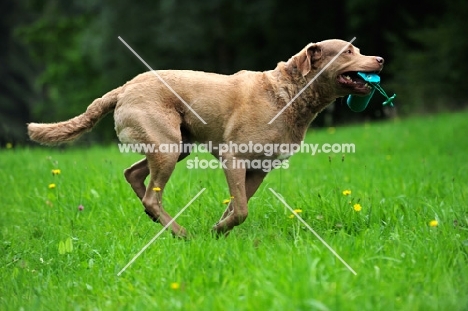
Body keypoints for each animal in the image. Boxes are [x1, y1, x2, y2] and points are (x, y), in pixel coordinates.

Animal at [28, 40, 384, 238]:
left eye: (358, 49)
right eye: (349, 50)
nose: (380, 59)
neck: (290, 94)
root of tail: (123, 88)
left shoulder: (260, 168)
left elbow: (237, 205)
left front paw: (218, 230)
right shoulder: (233, 157)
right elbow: (241, 209)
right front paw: (215, 232)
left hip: (177, 145)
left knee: (134, 176)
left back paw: (163, 224)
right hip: (167, 145)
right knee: (151, 196)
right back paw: (181, 233)